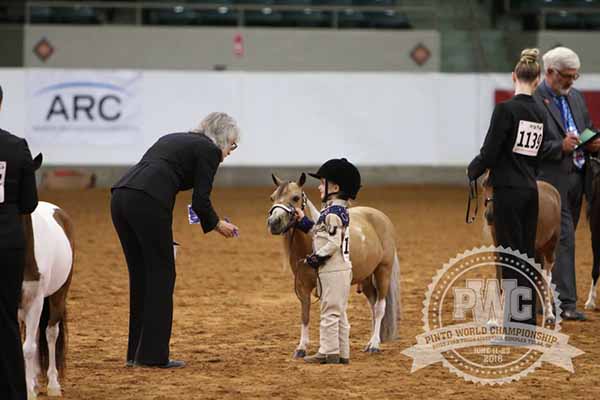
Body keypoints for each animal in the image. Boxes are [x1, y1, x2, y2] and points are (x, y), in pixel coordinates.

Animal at [266, 173, 398, 356]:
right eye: (272, 197)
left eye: (295, 197)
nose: (274, 222)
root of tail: (381, 217)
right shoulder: (302, 287)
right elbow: (305, 315)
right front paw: (301, 348)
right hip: (365, 278)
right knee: (373, 304)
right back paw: (370, 341)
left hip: (383, 271)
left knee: (380, 307)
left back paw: (374, 345)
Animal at [480, 175, 560, 322]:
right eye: (484, 184)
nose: (489, 215)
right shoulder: (499, 248)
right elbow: (500, 278)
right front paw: (493, 320)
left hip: (550, 246)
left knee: (546, 276)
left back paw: (549, 314)